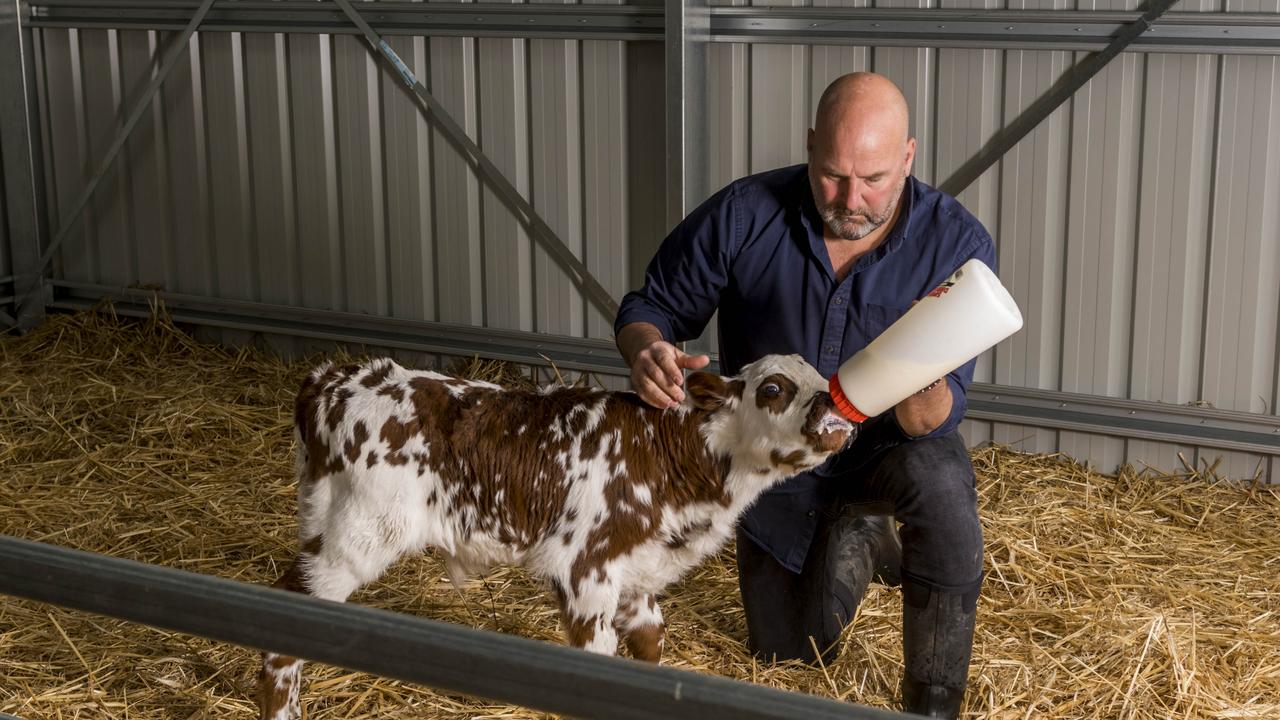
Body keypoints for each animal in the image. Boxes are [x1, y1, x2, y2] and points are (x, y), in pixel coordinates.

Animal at [257, 351, 860, 712]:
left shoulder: (634, 576)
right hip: (361, 534)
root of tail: (332, 379)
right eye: (773, 388)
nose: (830, 402)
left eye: (818, 373)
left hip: (322, 519)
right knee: (288, 610)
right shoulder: (584, 569)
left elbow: (649, 649)